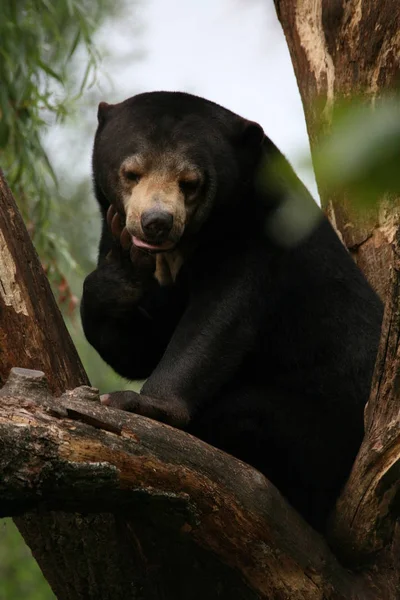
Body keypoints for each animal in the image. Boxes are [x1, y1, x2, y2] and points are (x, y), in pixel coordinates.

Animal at [79, 90, 382, 528]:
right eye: (131, 173)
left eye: (191, 183)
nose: (156, 222)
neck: (184, 249)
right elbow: (138, 348)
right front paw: (123, 271)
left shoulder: (260, 230)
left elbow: (218, 320)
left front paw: (137, 404)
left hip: (328, 422)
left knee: (248, 412)